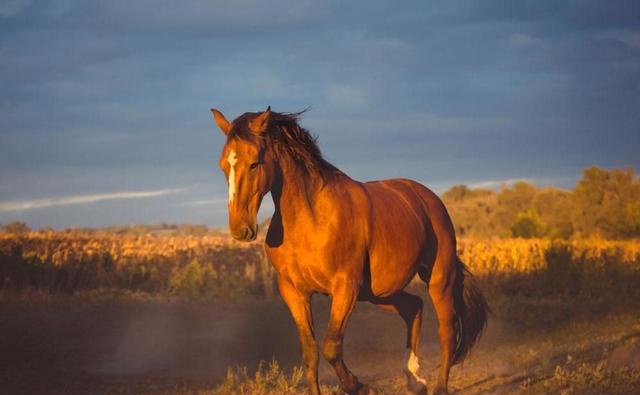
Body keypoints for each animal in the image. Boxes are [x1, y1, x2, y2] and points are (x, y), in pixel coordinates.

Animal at [212, 106, 488, 395]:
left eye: (254, 163)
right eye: (223, 165)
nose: (240, 229)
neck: (311, 219)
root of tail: (428, 198)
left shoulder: (345, 288)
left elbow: (331, 346)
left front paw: (360, 386)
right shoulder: (294, 292)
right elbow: (310, 352)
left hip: (437, 279)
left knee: (447, 331)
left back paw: (437, 386)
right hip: (377, 293)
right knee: (413, 307)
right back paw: (414, 380)